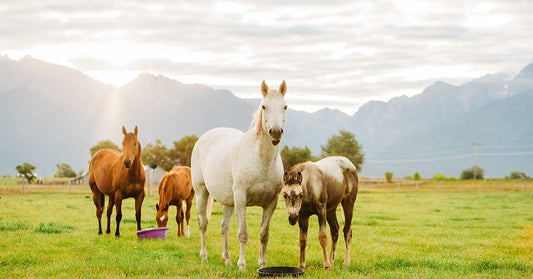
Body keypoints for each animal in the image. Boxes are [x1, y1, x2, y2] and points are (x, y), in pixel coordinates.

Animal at [189, 80, 284, 272]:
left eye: (285, 106)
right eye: (264, 106)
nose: (276, 132)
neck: (260, 161)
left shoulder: (271, 203)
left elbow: (264, 235)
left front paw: (262, 264)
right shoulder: (241, 199)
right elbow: (243, 234)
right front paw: (242, 265)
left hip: (228, 202)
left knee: (223, 227)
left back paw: (227, 259)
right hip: (202, 193)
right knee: (203, 223)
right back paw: (204, 256)